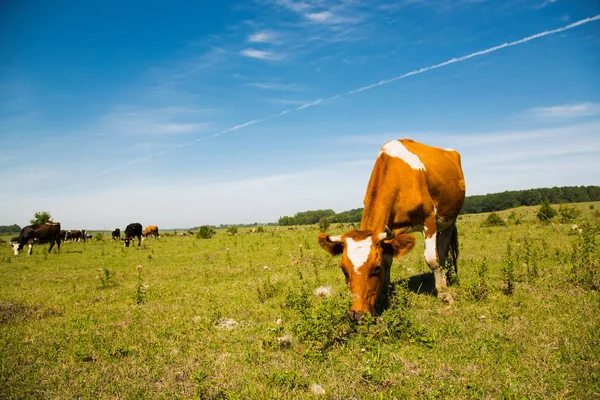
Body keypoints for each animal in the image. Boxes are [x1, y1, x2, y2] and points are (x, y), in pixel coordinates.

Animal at [316, 139, 466, 320]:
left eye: (376, 267)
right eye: (343, 269)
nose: (357, 315)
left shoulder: (429, 218)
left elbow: (432, 259)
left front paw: (444, 293)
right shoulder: (389, 233)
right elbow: (388, 261)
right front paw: (382, 296)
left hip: (448, 220)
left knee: (442, 253)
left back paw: (445, 282)